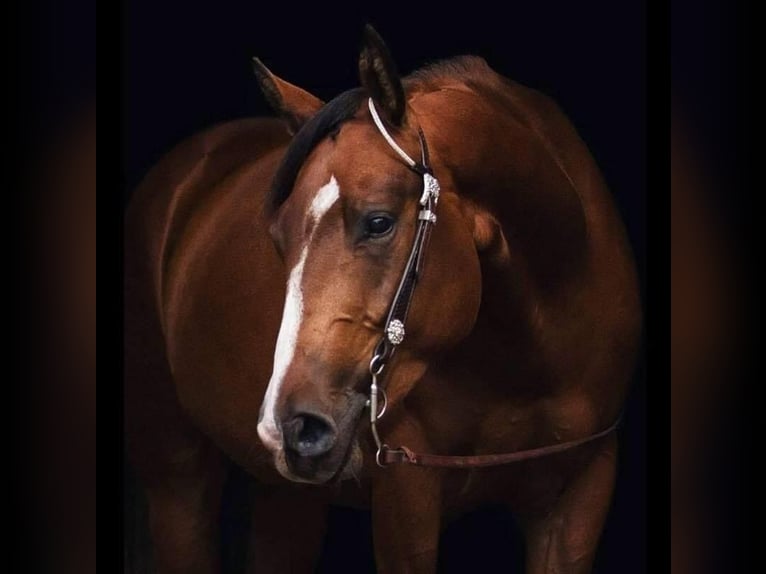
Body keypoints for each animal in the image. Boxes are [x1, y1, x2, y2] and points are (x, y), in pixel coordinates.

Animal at [124, 25, 641, 574]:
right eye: (277, 238)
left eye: (378, 222)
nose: (288, 425)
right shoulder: (406, 495)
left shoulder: (581, 496)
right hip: (177, 475)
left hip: (288, 497)